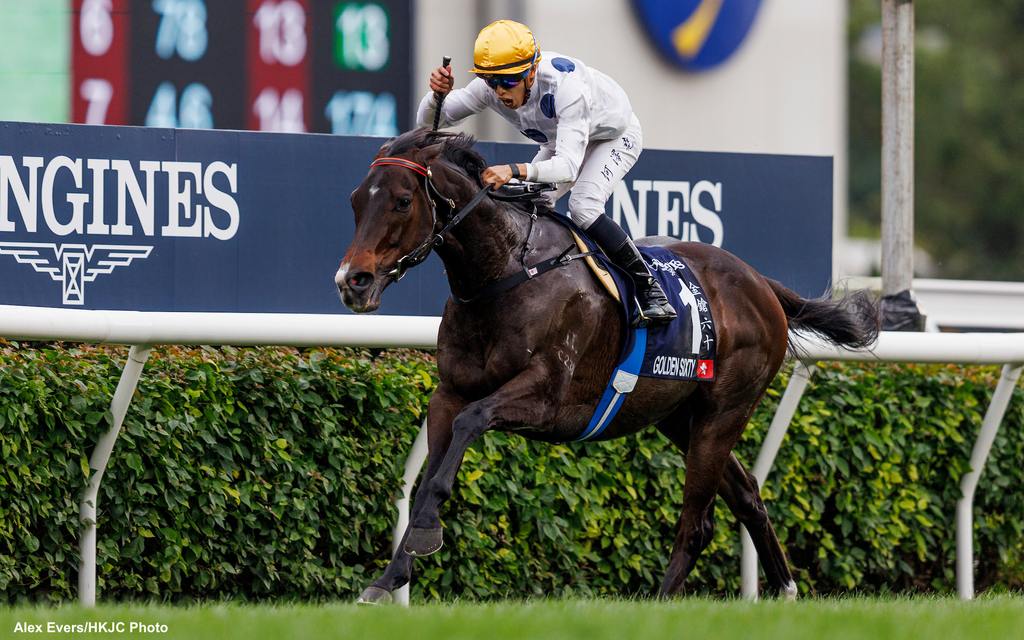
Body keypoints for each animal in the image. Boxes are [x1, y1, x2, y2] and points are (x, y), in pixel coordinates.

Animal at [335, 128, 880, 598]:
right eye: (356, 200)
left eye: (403, 201)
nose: (352, 281)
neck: (509, 270)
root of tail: (761, 283)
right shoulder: (448, 392)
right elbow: (429, 471)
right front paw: (389, 577)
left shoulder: (547, 397)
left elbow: (471, 424)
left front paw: (425, 534)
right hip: (679, 416)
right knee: (747, 495)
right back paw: (785, 591)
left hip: (725, 412)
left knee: (698, 521)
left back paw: (662, 602)